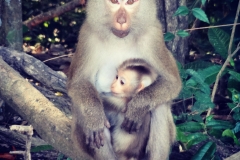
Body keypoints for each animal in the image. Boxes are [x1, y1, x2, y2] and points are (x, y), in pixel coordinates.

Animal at [66, 0, 181, 160]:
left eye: (130, 2)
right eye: (114, 2)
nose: (121, 20)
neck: (120, 39)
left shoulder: (153, 35)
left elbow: (171, 82)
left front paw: (137, 107)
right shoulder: (87, 35)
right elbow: (78, 84)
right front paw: (94, 116)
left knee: (160, 105)